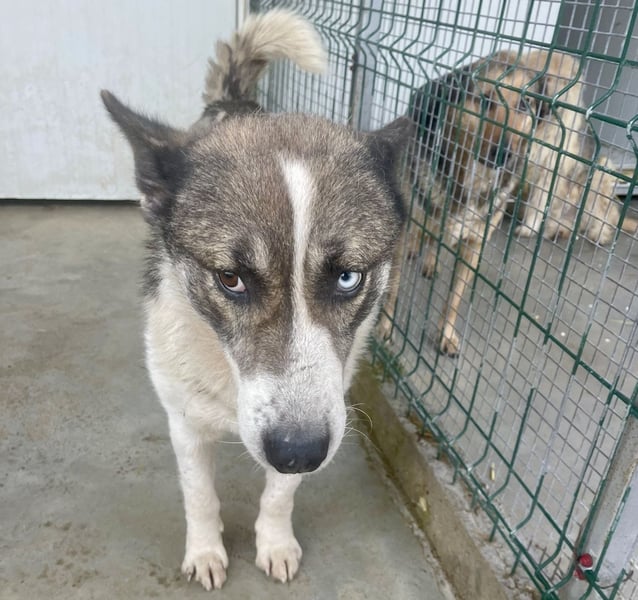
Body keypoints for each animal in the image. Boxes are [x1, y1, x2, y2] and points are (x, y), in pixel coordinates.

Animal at [101, 9, 411, 590]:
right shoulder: (185, 422)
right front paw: (205, 551)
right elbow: (199, 495)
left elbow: (279, 495)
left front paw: (274, 542)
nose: (299, 451)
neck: (226, 372)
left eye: (348, 277)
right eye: (231, 279)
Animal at [399, 49, 637, 356]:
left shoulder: (473, 247)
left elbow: (453, 298)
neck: (472, 184)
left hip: (598, 179)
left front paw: (445, 334)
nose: (504, 154)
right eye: (484, 99)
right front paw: (385, 330)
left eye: (524, 104)